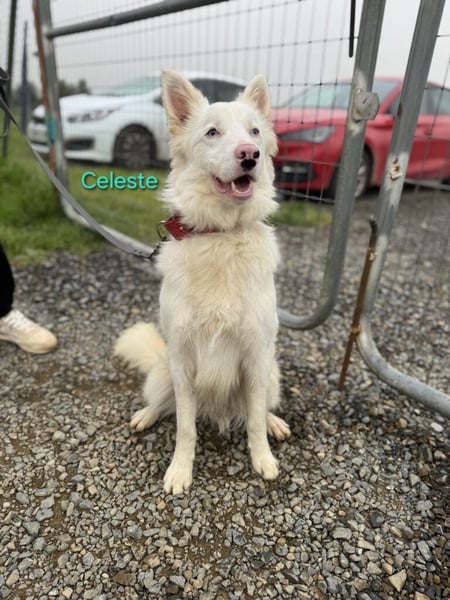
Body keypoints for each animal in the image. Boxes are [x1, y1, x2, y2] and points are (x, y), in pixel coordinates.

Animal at [114, 70, 290, 494]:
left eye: (255, 131)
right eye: (212, 133)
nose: (250, 155)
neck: (220, 235)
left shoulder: (255, 355)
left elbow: (254, 420)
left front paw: (262, 459)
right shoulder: (183, 359)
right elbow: (185, 426)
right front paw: (180, 470)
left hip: (271, 372)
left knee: (260, 408)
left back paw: (274, 422)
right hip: (163, 371)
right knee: (163, 403)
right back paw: (146, 414)